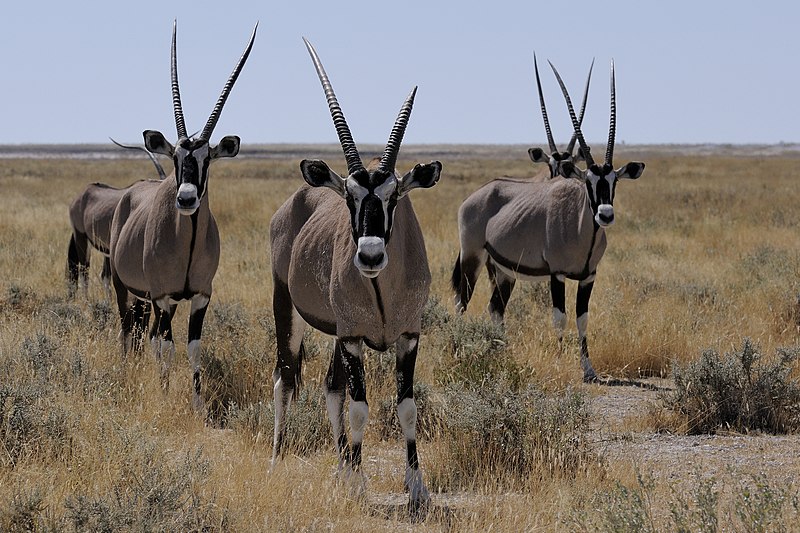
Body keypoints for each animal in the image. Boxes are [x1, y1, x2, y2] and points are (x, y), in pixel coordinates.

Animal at [68, 139, 167, 298]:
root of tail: (82, 194)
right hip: (81, 238)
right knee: (84, 270)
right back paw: (86, 300)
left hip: (104, 251)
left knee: (103, 275)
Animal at [109, 21, 256, 412]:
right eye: (175, 156)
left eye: (208, 158)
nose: (186, 198)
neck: (186, 242)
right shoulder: (163, 297)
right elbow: (168, 348)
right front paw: (163, 395)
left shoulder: (200, 296)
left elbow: (192, 349)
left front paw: (198, 404)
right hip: (124, 287)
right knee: (130, 331)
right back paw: (128, 372)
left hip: (159, 301)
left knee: (146, 334)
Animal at [272, 38, 440, 508]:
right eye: (349, 196)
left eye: (394, 195)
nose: (369, 255)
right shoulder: (353, 340)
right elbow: (360, 408)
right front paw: (360, 484)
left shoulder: (408, 335)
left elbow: (406, 407)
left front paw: (415, 486)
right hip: (287, 310)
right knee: (284, 380)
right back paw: (276, 462)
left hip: (334, 331)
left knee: (330, 388)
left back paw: (342, 468)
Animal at [450, 60, 644, 380]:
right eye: (588, 181)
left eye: (614, 181)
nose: (605, 214)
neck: (582, 230)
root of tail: (477, 194)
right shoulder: (557, 274)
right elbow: (559, 318)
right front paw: (559, 361)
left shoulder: (589, 276)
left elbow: (582, 319)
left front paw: (588, 369)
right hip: (472, 258)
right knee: (461, 301)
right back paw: (456, 347)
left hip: (503, 270)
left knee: (495, 308)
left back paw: (503, 352)